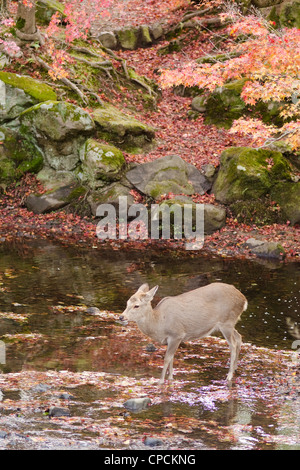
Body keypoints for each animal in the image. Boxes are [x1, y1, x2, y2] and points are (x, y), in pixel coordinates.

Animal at [118, 282, 247, 382]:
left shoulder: (177, 334)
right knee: (239, 337)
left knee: (233, 345)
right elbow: (171, 358)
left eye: (136, 306)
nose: (121, 317)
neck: (159, 323)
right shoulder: (171, 339)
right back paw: (235, 368)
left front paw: (161, 381)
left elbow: (167, 358)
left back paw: (229, 376)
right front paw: (170, 378)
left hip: (227, 322)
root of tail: (243, 299)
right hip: (229, 324)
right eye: (127, 303)